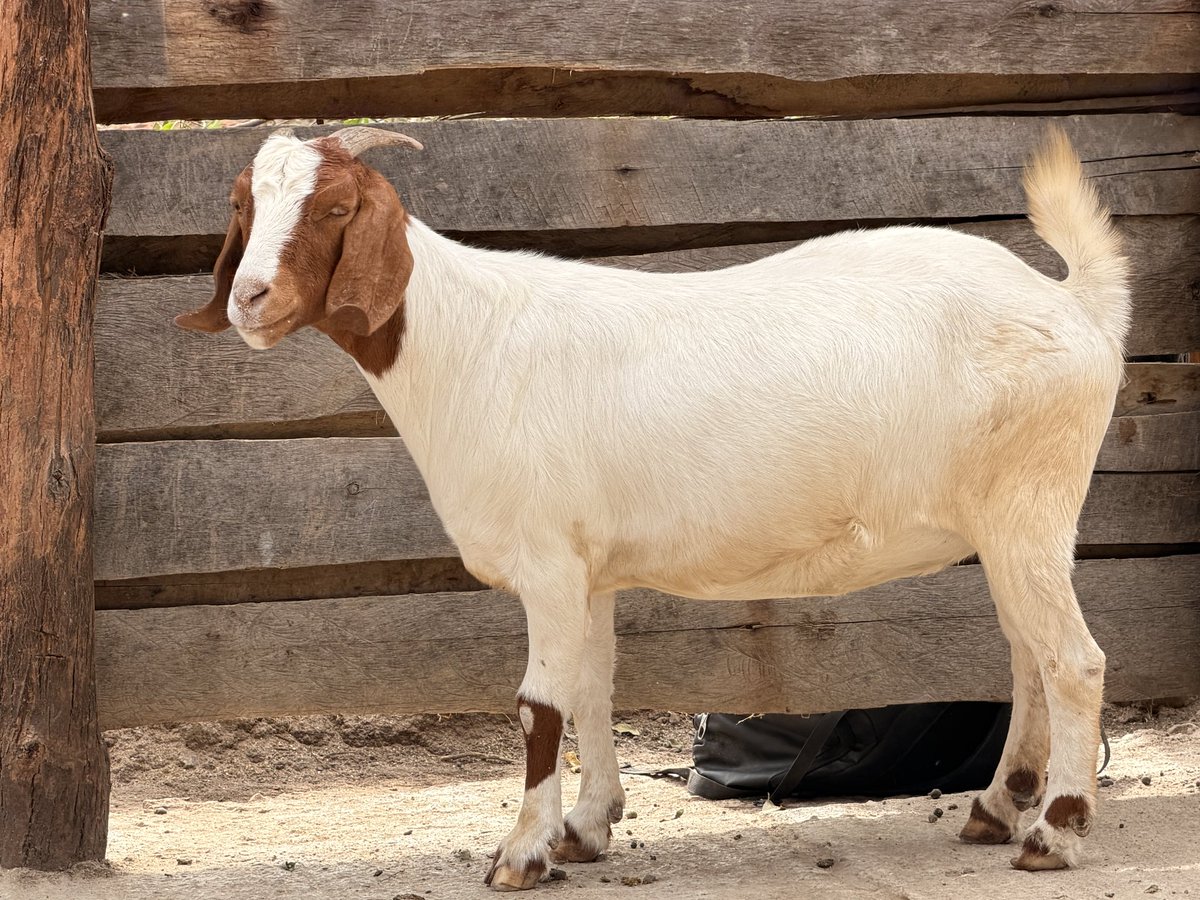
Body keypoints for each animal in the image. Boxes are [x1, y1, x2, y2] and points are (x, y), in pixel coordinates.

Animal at [177, 125, 1129, 890]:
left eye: (336, 205)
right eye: (240, 203)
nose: (250, 299)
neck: (468, 343)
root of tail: (1074, 304)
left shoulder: (547, 562)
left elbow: (539, 707)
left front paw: (520, 854)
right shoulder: (588, 569)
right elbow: (593, 692)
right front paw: (586, 827)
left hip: (1029, 506)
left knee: (1075, 662)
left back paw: (1054, 833)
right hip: (1007, 525)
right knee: (1029, 656)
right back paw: (998, 807)